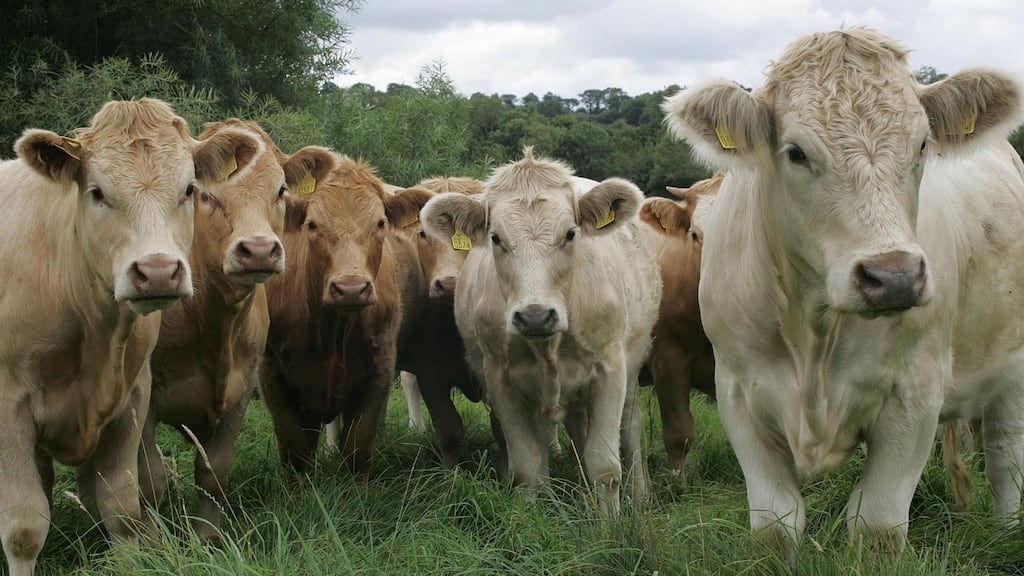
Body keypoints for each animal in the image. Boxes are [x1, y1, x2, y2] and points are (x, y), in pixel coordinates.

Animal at [0, 98, 254, 576]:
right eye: (97, 192)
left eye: (189, 189)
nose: (157, 270)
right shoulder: (8, 407)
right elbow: (23, 529)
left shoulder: (133, 395)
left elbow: (122, 507)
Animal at [140, 119, 332, 540]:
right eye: (202, 194)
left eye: (280, 190)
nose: (258, 250)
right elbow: (148, 478)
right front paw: (150, 542)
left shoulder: (241, 390)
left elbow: (213, 473)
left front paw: (208, 540)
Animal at [261, 153, 432, 476]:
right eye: (312, 224)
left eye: (380, 223)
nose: (351, 288)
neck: (332, 331)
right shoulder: (272, 373)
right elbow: (295, 449)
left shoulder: (379, 367)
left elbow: (357, 445)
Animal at [420, 148, 660, 512]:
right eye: (496, 238)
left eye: (571, 233)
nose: (535, 317)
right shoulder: (500, 380)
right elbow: (527, 468)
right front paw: (531, 517)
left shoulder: (610, 370)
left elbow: (605, 465)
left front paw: (611, 523)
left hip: (632, 366)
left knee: (630, 430)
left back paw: (641, 495)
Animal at [662, 27, 1024, 554]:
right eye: (796, 152)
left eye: (922, 145)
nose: (894, 276)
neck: (812, 331)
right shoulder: (737, 390)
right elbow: (776, 526)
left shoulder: (915, 393)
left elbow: (877, 526)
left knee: (1005, 457)